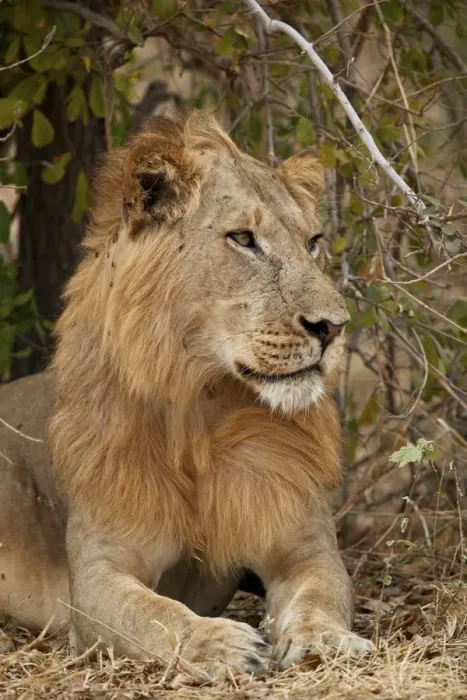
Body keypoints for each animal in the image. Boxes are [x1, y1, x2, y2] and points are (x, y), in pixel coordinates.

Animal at [0, 110, 372, 680]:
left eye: (312, 242)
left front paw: (324, 639)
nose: (333, 326)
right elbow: (155, 615)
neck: (203, 407)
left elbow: (322, 594)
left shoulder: (304, 545)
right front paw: (220, 644)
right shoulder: (96, 579)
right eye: (242, 238)